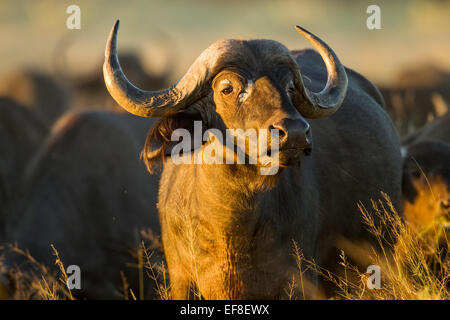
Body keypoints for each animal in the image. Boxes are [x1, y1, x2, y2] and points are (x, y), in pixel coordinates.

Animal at [103, 21, 402, 298]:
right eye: (227, 88)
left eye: (290, 87)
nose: (295, 133)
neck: (232, 228)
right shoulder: (181, 279)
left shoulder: (299, 278)